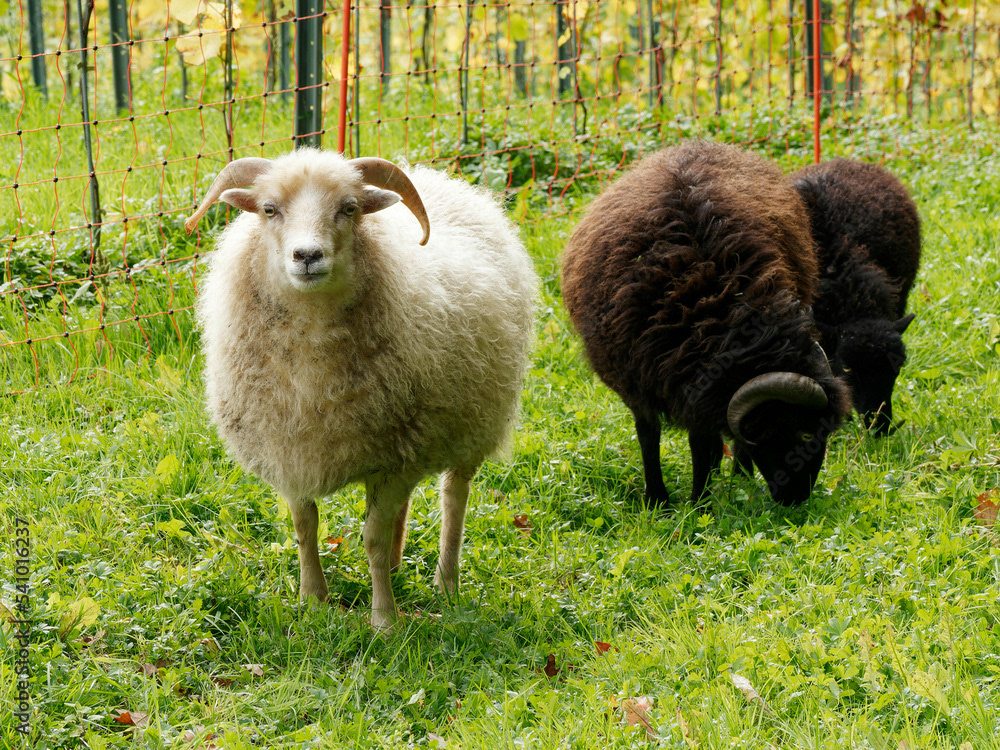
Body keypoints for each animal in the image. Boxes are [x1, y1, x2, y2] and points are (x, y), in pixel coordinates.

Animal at [185, 149, 537, 629]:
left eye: (349, 209)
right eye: (269, 209)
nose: (307, 255)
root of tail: (442, 180)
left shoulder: (391, 462)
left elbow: (371, 538)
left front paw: (384, 619)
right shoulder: (291, 448)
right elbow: (305, 527)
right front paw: (312, 600)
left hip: (473, 422)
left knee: (454, 498)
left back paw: (446, 582)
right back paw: (397, 563)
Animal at [561, 140, 850, 507]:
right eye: (803, 432)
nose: (796, 499)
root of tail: (693, 144)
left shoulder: (700, 385)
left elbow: (707, 444)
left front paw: (701, 501)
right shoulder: (642, 381)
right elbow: (654, 436)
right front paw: (662, 500)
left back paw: (740, 478)